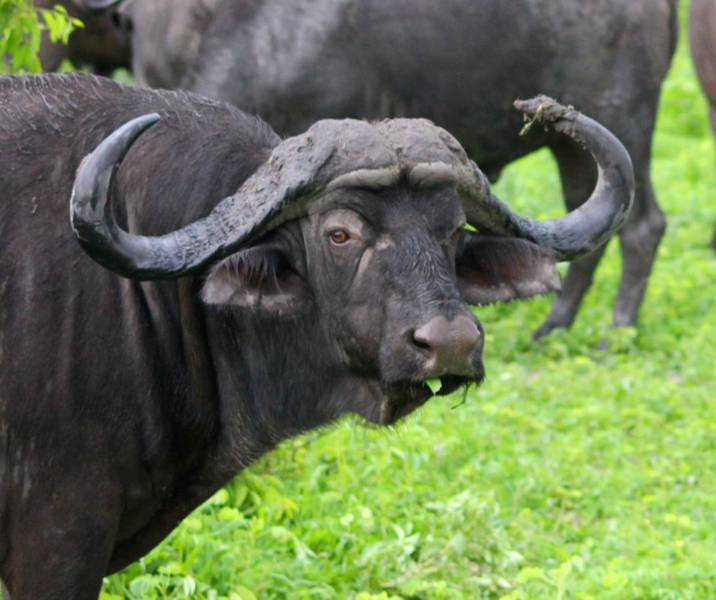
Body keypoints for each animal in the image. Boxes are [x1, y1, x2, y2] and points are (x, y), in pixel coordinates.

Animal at [120, 0, 680, 338]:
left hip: (623, 119)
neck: (267, 40)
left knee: (642, 226)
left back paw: (616, 331)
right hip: (571, 146)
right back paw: (555, 326)